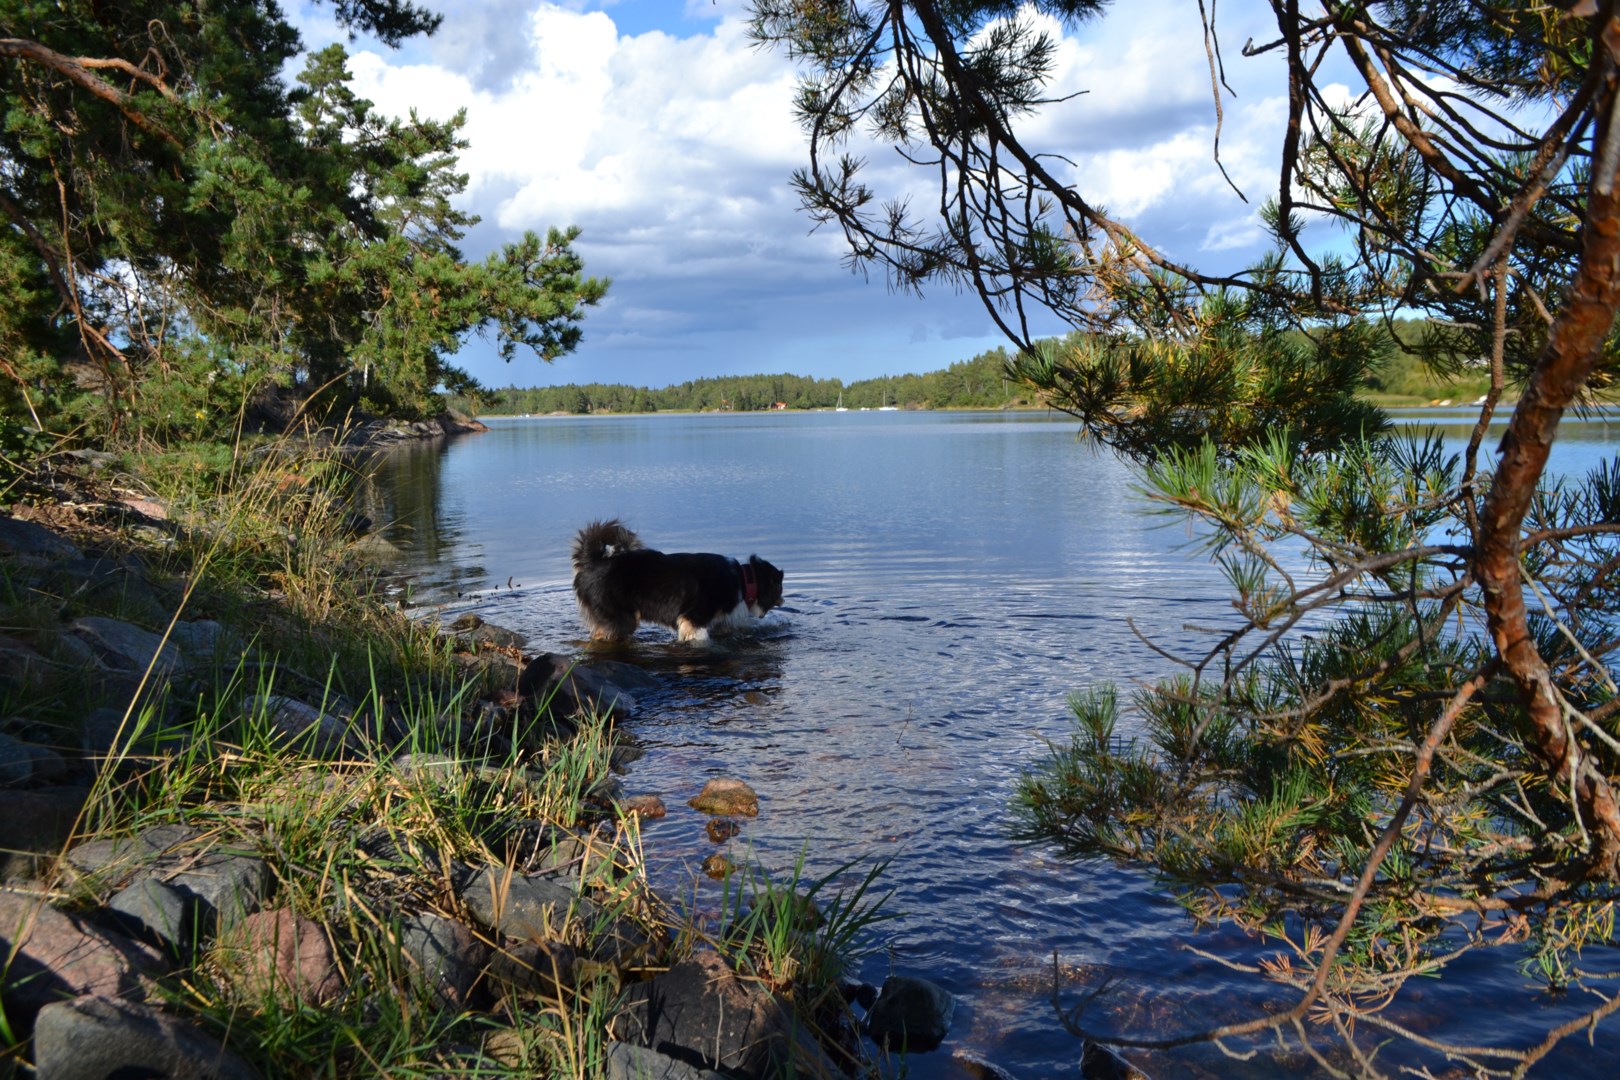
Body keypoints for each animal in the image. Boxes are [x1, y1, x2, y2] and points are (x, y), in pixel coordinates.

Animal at [573, 521, 787, 641]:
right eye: (780, 589)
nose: (783, 600)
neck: (743, 581)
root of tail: (592, 561)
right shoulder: (693, 619)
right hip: (621, 619)